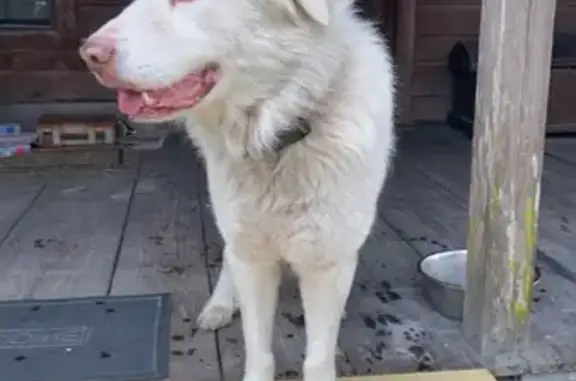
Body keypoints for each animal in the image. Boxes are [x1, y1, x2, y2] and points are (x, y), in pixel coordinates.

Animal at [82, 0, 396, 378]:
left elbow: (317, 357)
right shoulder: (252, 257)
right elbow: (258, 348)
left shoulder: (328, 263)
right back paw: (219, 304)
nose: (90, 54)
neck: (275, 136)